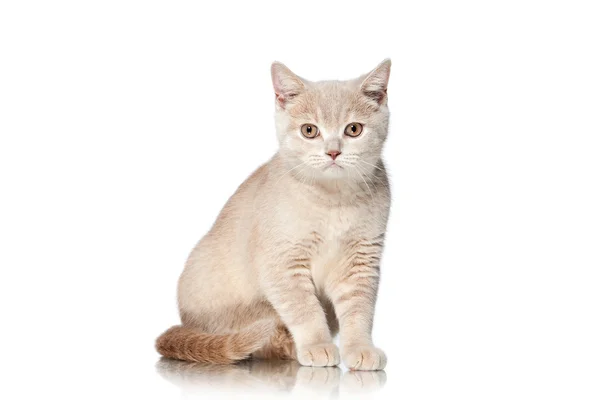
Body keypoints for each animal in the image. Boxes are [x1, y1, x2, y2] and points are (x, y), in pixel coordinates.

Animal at [155, 59, 392, 372]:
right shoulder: (282, 263)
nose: (332, 152)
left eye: (353, 129)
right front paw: (317, 345)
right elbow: (304, 309)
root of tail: (187, 325)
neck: (332, 201)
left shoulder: (362, 261)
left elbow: (359, 310)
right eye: (309, 130)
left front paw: (360, 348)